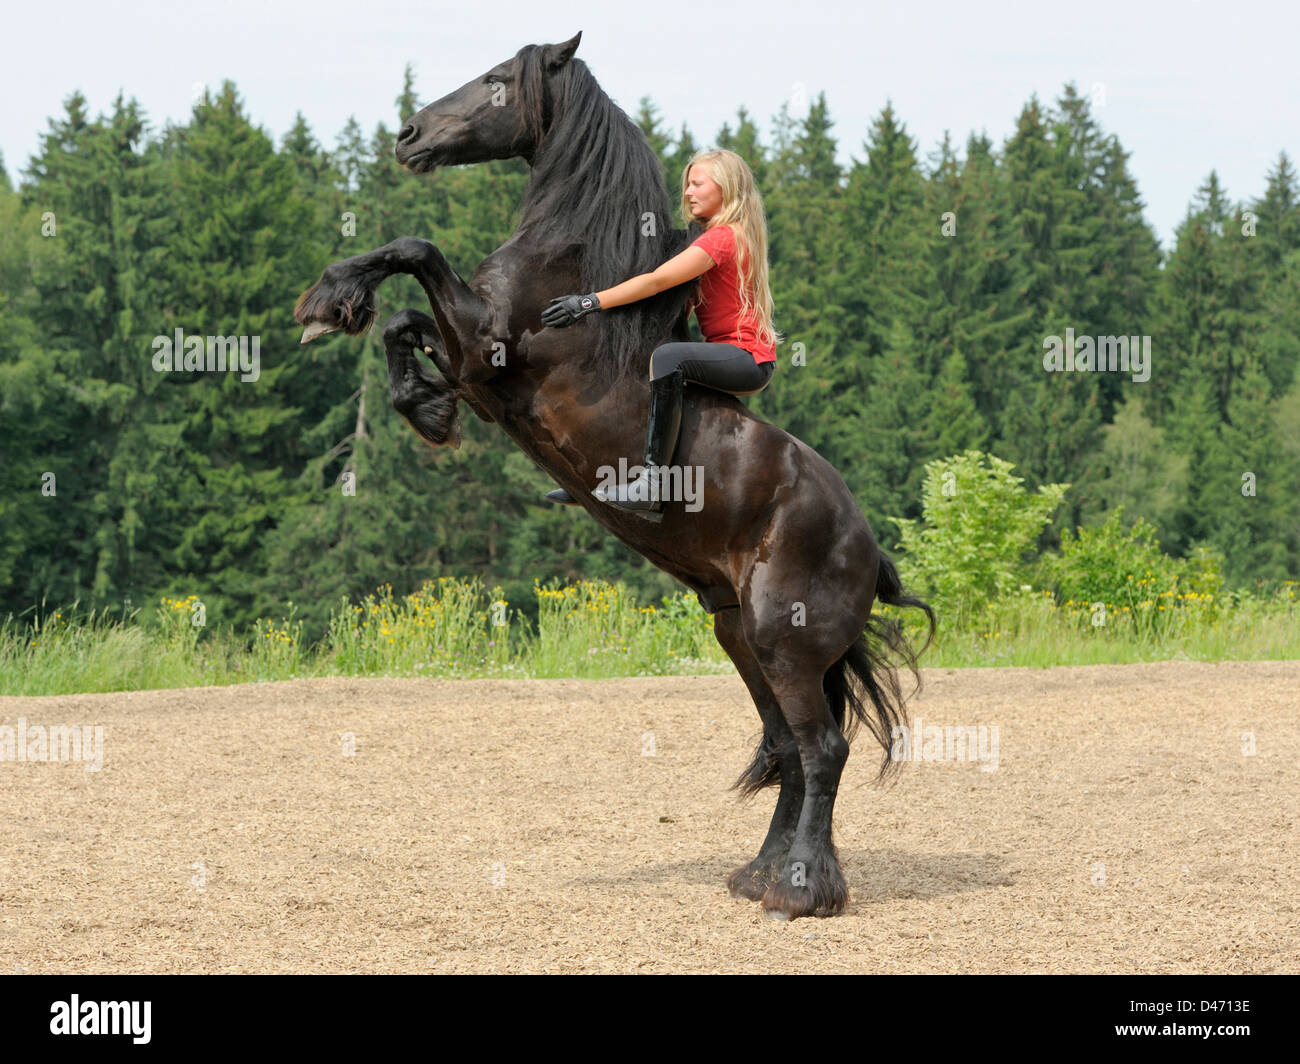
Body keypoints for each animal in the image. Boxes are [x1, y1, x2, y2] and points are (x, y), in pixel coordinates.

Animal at [297, 28, 935, 915]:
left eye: (498, 81)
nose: (409, 136)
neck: (566, 262)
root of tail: (867, 548)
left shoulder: (485, 350)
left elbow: (415, 251)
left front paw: (331, 301)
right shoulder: (471, 366)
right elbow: (402, 320)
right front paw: (417, 400)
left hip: (784, 638)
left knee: (821, 749)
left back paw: (799, 890)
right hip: (738, 631)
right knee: (786, 746)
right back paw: (759, 875)